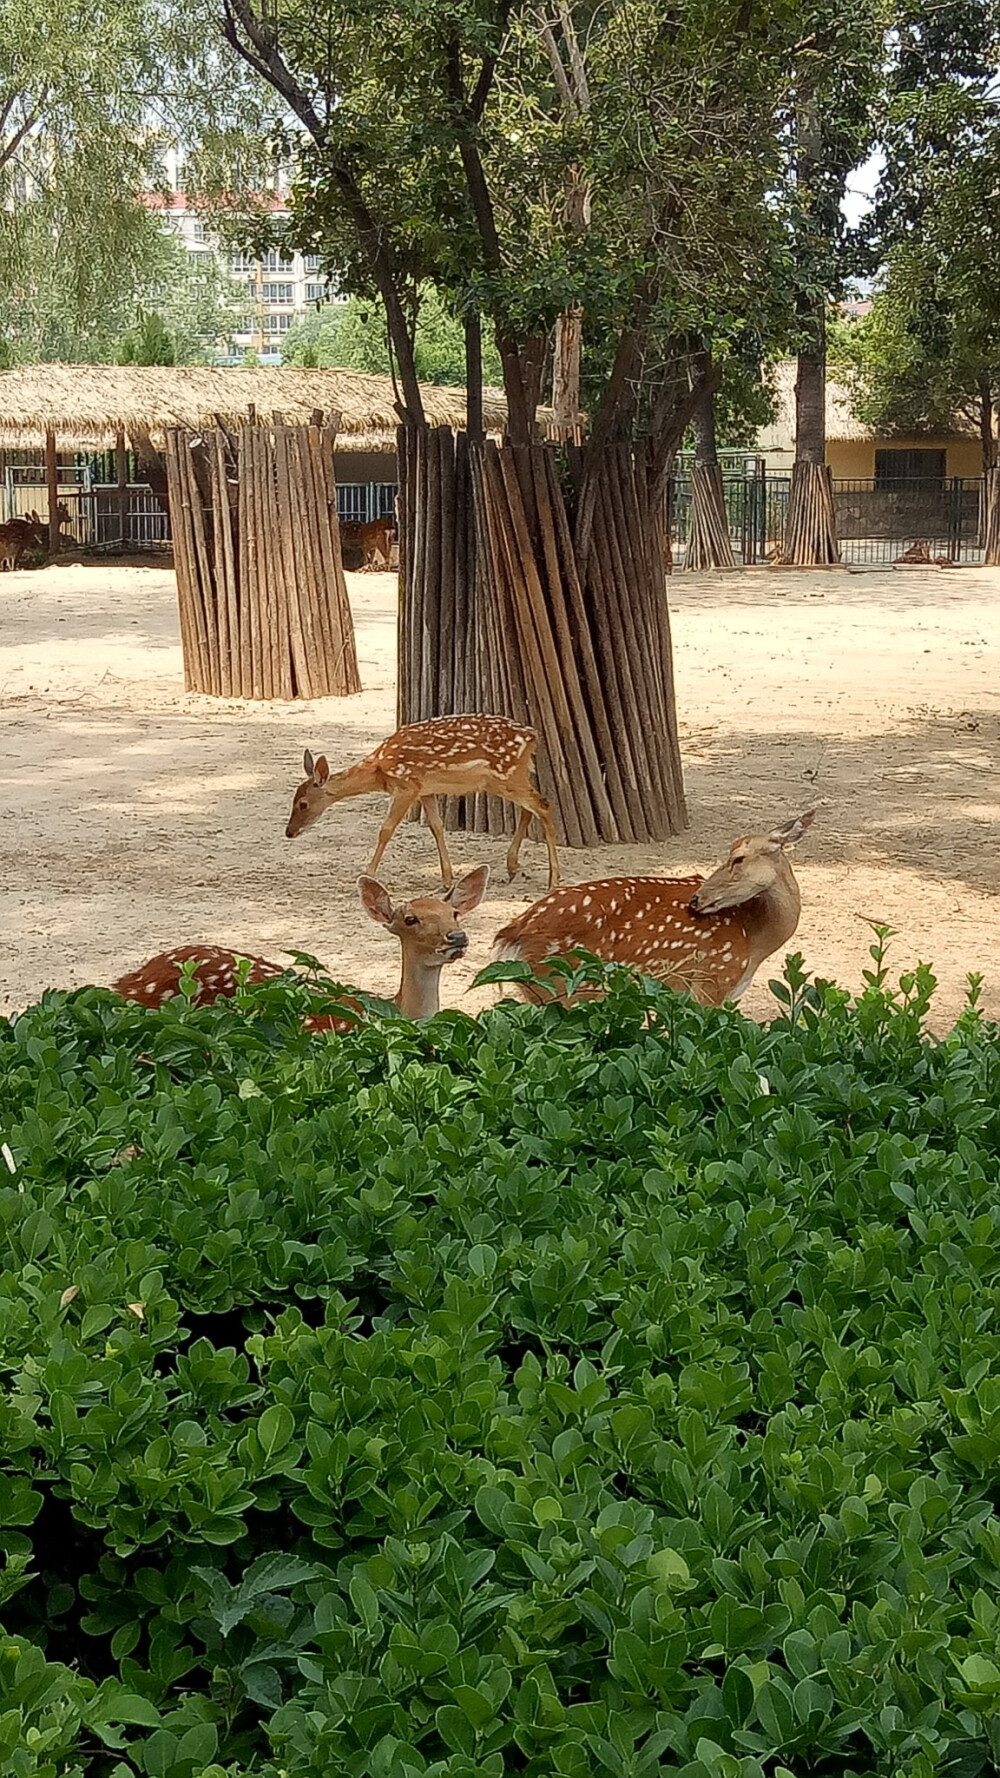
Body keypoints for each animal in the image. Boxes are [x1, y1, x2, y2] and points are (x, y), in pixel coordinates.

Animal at [286, 711, 562, 889]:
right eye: (293, 800)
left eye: (303, 804)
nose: (289, 832)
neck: (379, 770)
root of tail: (533, 736)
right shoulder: (425, 790)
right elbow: (436, 827)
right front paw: (447, 879)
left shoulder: (407, 785)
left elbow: (385, 830)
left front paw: (367, 874)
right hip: (507, 777)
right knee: (530, 808)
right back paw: (513, 867)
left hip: (506, 774)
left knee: (544, 805)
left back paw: (553, 880)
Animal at [487, 814, 811, 1009]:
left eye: (738, 858)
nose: (696, 900)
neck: (754, 941)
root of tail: (511, 936)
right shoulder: (712, 981)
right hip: (567, 986)